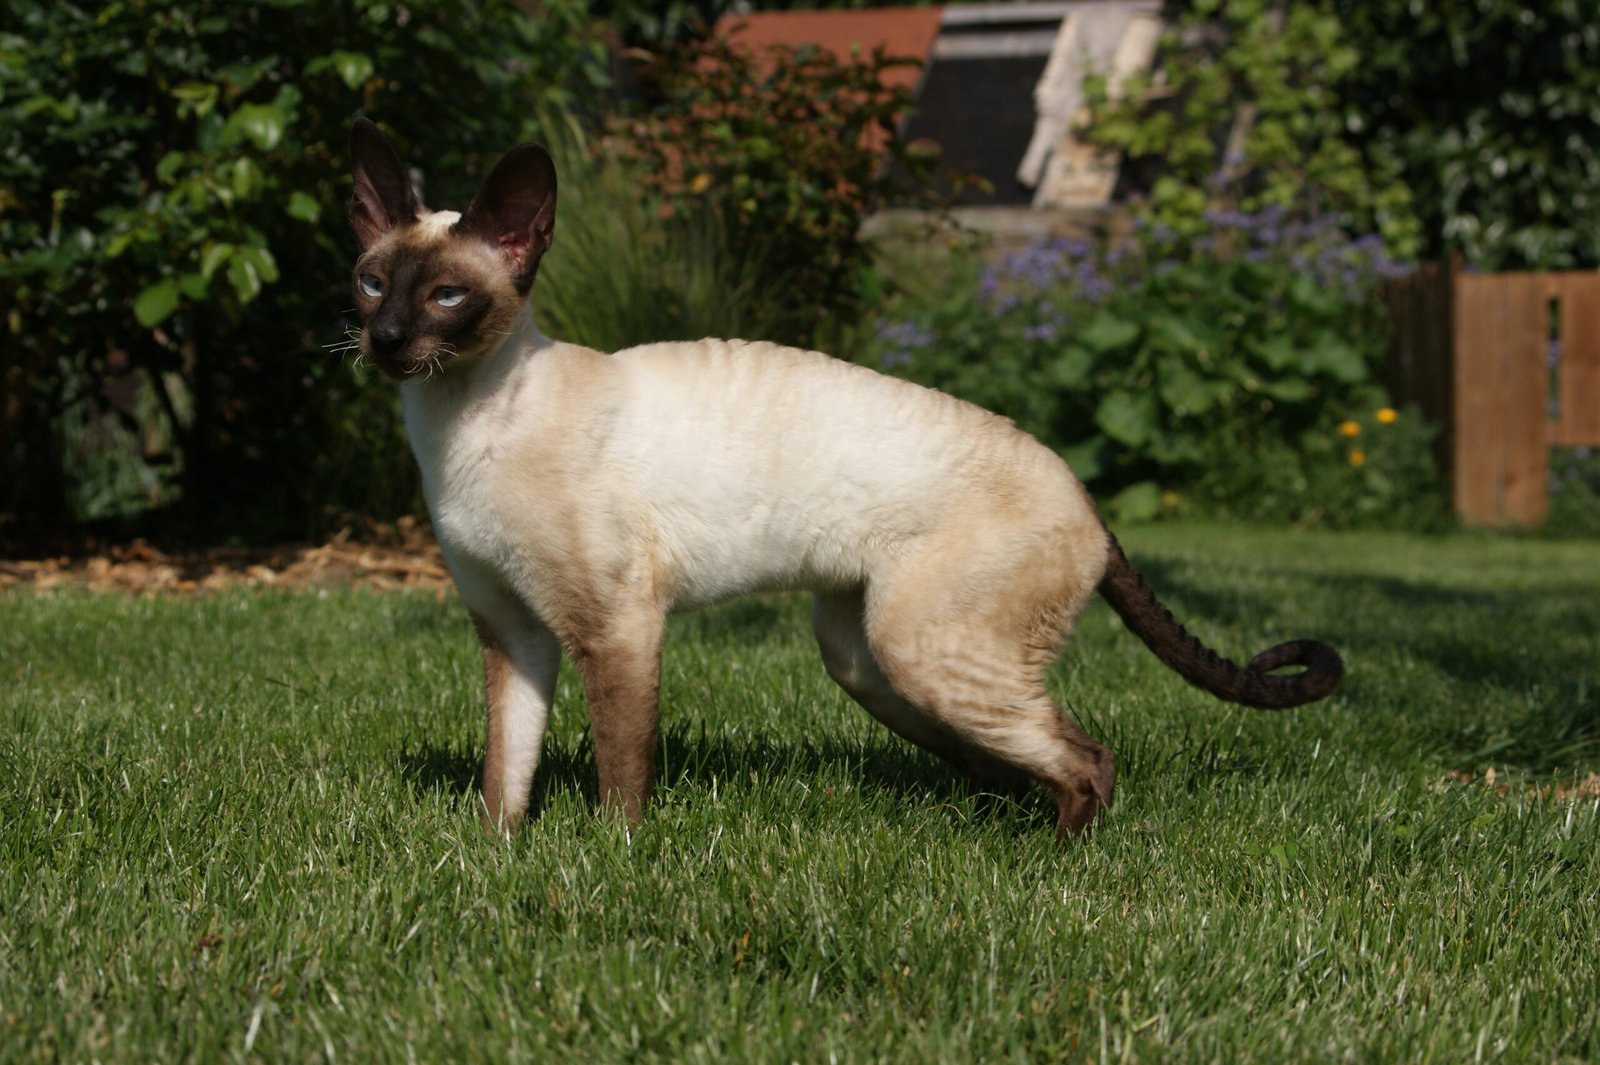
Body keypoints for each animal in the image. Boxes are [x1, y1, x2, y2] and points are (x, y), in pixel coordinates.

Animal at [347, 119, 1337, 837]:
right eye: (370, 283)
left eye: (446, 297)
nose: (385, 342)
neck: (458, 427)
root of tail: (1088, 500)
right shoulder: (514, 633)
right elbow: (503, 778)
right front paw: (492, 859)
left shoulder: (615, 627)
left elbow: (621, 785)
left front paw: (612, 863)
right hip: (866, 659)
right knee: (1009, 765)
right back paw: (988, 839)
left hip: (920, 649)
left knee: (1089, 760)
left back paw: (1050, 874)